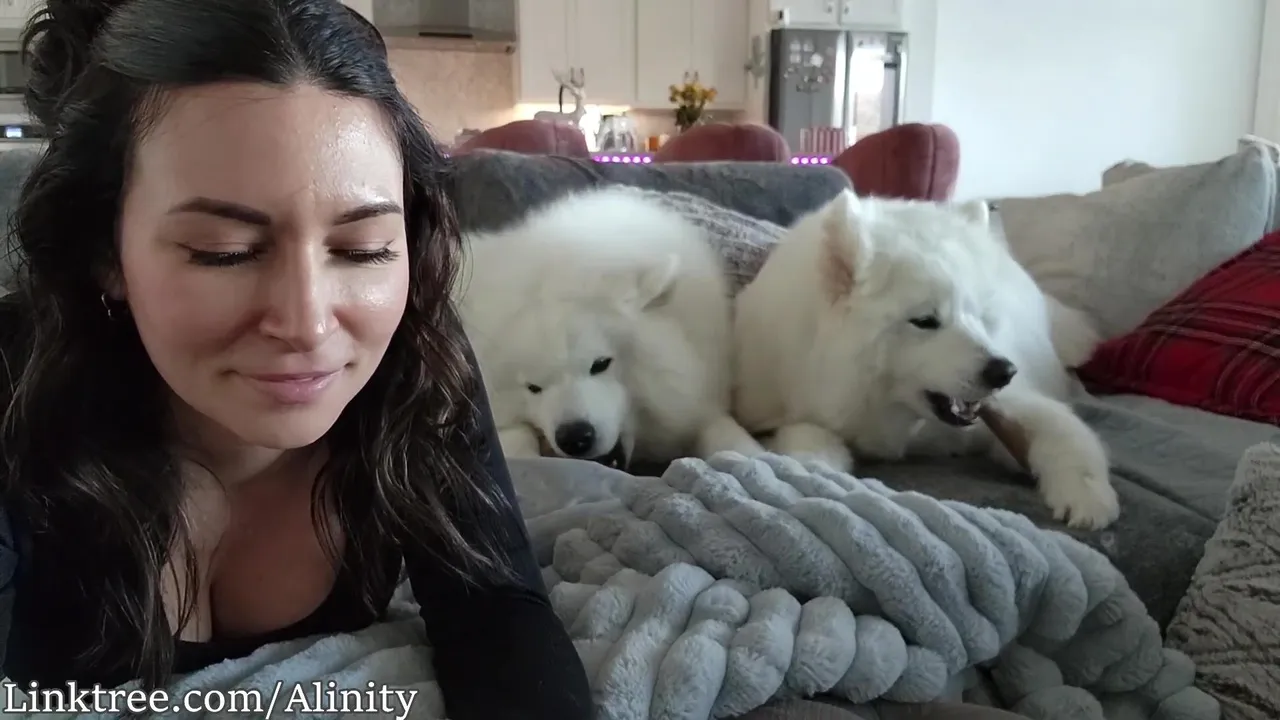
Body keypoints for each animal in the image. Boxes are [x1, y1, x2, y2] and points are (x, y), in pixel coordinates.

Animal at [733, 189, 1119, 529]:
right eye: (925, 321)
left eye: (978, 316)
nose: (1004, 371)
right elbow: (808, 439)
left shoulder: (1006, 406)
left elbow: (1063, 430)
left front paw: (1088, 497)